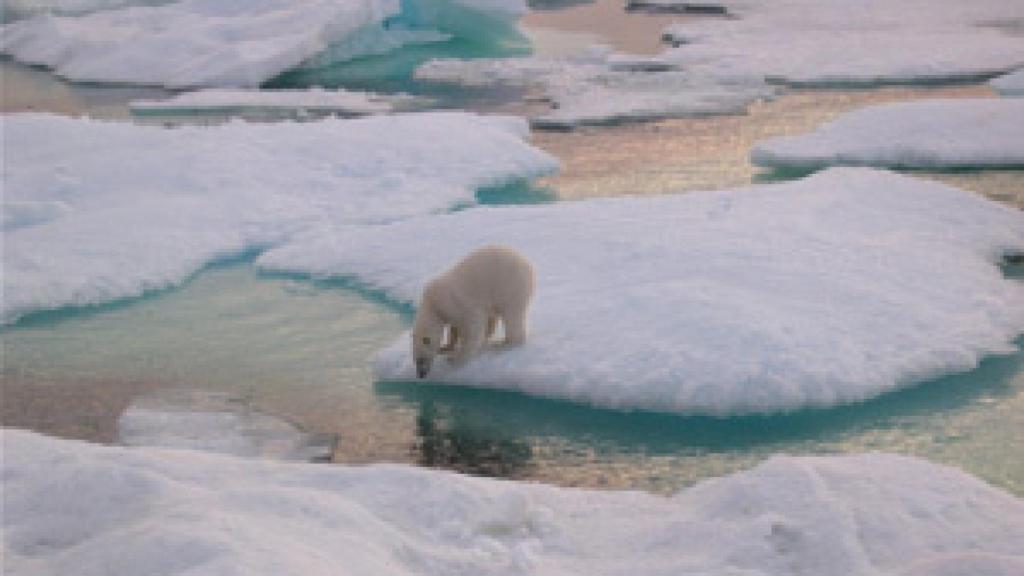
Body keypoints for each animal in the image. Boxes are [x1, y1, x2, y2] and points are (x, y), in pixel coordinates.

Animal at [411, 242, 536, 375]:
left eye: (421, 360)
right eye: (416, 360)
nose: (421, 375)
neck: (433, 303)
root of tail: (530, 267)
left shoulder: (458, 303)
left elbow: (474, 326)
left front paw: (455, 359)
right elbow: (454, 328)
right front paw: (446, 346)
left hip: (511, 287)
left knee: (512, 316)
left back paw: (501, 345)